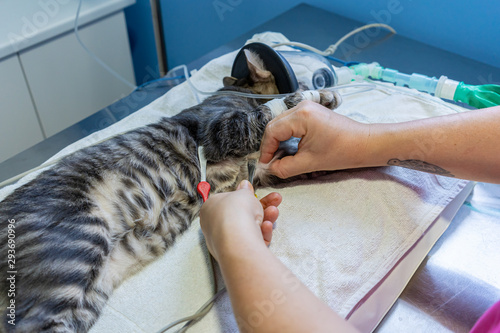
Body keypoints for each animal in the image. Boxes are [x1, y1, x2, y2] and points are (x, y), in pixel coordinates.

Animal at [0, 50, 340, 332]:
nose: (318, 80)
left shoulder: (259, 169)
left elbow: (289, 158)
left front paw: (323, 131)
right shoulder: (222, 131)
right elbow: (271, 111)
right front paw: (315, 95)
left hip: (89, 295)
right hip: (77, 247)